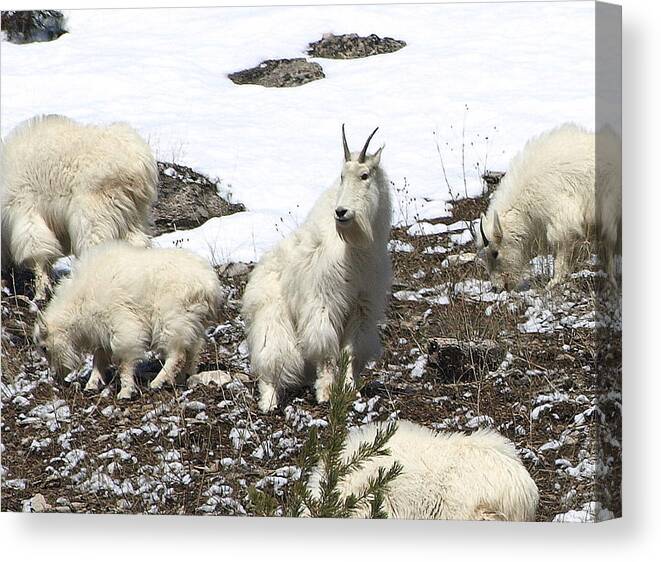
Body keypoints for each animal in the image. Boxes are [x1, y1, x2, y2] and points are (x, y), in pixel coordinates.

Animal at [0, 113, 158, 298]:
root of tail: (138, 165)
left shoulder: (25, 209)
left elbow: (37, 250)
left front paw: (40, 291)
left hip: (95, 213)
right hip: (133, 213)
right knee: (138, 242)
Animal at [32, 241, 224, 398]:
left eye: (45, 348)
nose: (56, 376)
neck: (79, 301)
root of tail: (210, 286)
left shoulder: (122, 324)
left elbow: (124, 361)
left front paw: (125, 391)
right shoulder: (102, 332)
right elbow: (98, 359)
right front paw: (92, 384)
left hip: (171, 317)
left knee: (177, 353)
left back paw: (158, 382)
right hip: (193, 321)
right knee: (193, 350)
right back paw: (184, 377)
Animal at [240, 126, 390, 412]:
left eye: (364, 175)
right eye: (341, 175)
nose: (342, 212)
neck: (355, 249)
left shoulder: (361, 305)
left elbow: (351, 351)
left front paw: (350, 389)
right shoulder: (324, 302)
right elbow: (326, 350)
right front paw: (327, 392)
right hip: (274, 318)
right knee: (271, 360)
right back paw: (269, 401)